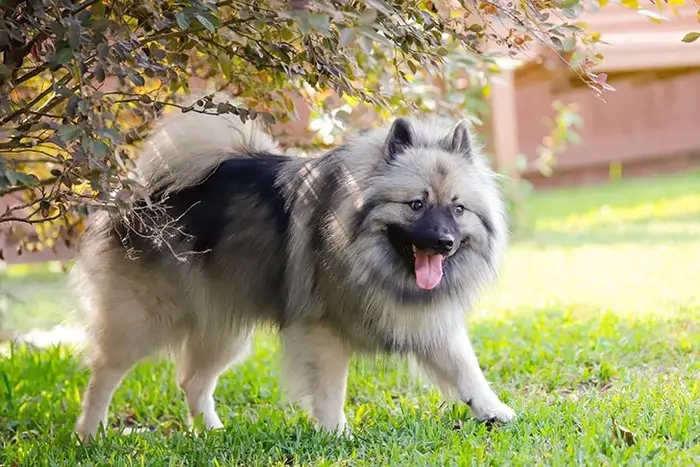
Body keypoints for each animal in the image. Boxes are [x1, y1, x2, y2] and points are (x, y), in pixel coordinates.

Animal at [74, 93, 516, 440]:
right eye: (416, 204)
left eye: (458, 209)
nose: (443, 242)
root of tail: (142, 195)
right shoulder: (323, 331)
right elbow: (331, 389)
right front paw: (336, 432)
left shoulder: (428, 322)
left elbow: (466, 370)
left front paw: (493, 410)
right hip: (144, 320)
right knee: (104, 376)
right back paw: (90, 434)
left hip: (222, 322)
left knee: (193, 380)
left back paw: (211, 432)